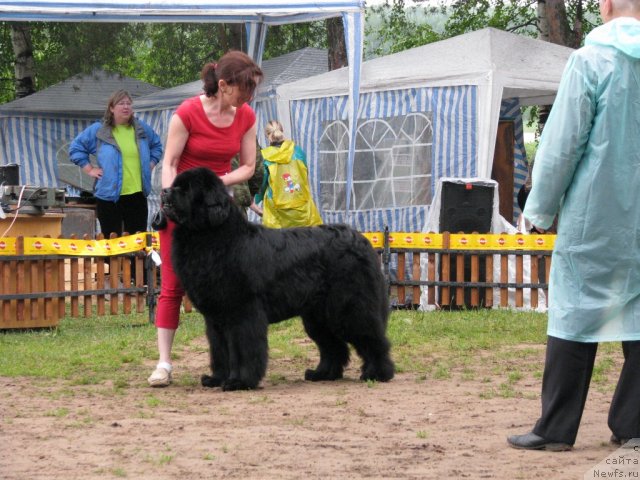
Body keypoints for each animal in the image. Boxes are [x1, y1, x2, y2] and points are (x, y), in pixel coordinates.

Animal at [162, 167, 392, 392]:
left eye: (186, 189)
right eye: (175, 185)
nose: (164, 191)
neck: (211, 237)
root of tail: (361, 240)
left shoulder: (242, 313)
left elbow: (242, 349)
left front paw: (239, 382)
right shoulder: (215, 318)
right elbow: (220, 351)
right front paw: (217, 379)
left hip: (349, 308)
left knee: (372, 338)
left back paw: (378, 373)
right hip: (318, 315)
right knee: (333, 346)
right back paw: (322, 374)